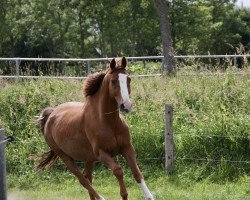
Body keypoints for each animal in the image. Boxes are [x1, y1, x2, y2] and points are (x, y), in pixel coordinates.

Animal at [36, 57, 154, 200]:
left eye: (128, 79)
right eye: (113, 81)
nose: (126, 106)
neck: (109, 122)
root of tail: (51, 115)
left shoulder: (127, 148)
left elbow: (137, 173)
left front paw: (149, 196)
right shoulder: (101, 153)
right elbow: (118, 171)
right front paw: (124, 195)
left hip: (88, 158)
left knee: (88, 177)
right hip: (65, 156)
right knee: (83, 180)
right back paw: (101, 198)